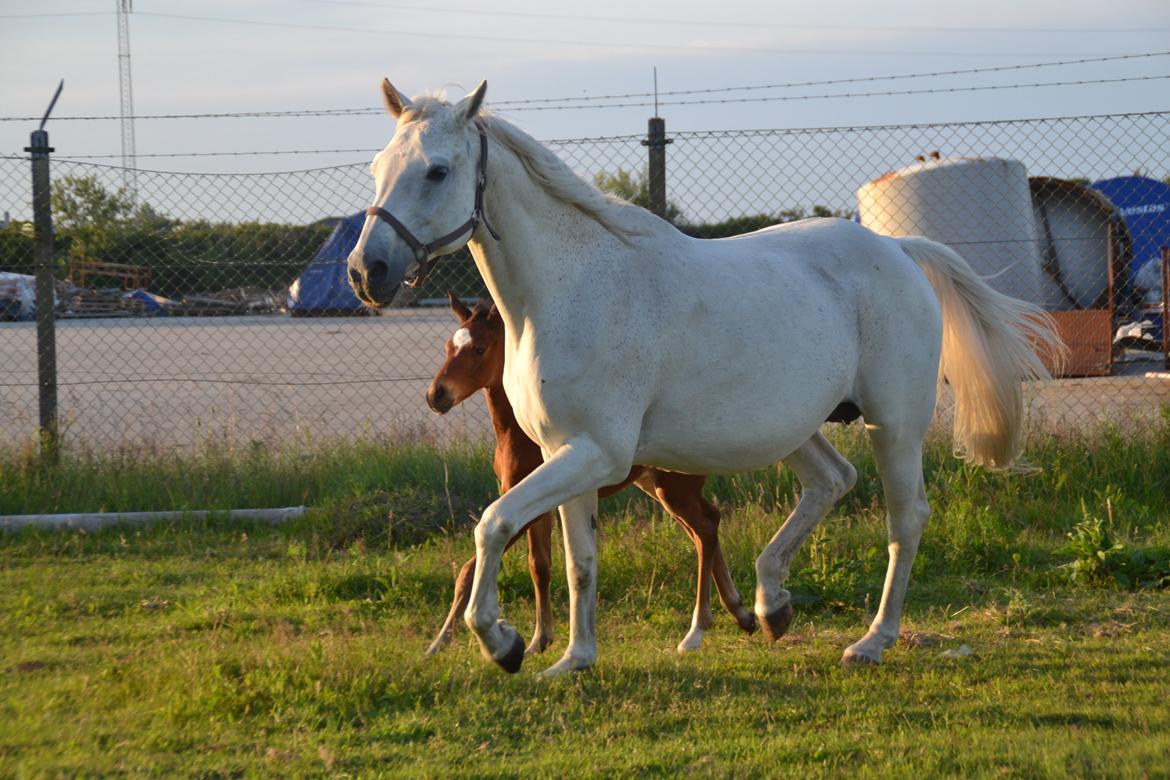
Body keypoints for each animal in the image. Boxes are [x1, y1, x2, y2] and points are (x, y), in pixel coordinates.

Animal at [425, 292, 753, 659]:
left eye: (479, 348)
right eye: (447, 347)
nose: (436, 395)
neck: (518, 435)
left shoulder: (530, 504)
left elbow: (470, 570)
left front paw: (440, 641)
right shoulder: (532, 504)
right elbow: (539, 565)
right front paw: (540, 638)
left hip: (674, 489)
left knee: (706, 528)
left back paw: (706, 625)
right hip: (659, 488)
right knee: (704, 527)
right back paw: (741, 613)